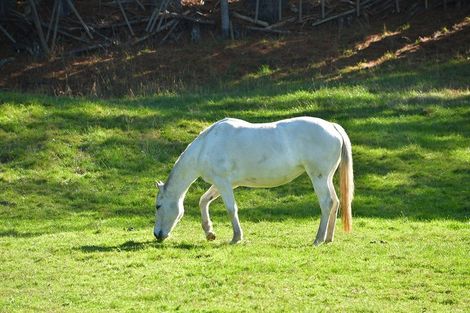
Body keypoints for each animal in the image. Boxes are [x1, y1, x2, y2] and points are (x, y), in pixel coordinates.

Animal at [152, 116, 354, 245]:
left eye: (158, 206)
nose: (157, 235)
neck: (206, 146)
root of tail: (332, 126)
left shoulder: (224, 183)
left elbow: (231, 209)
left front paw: (236, 237)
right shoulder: (223, 184)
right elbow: (203, 201)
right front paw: (209, 233)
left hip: (318, 178)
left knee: (327, 203)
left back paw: (318, 239)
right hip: (326, 178)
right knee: (335, 202)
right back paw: (328, 238)